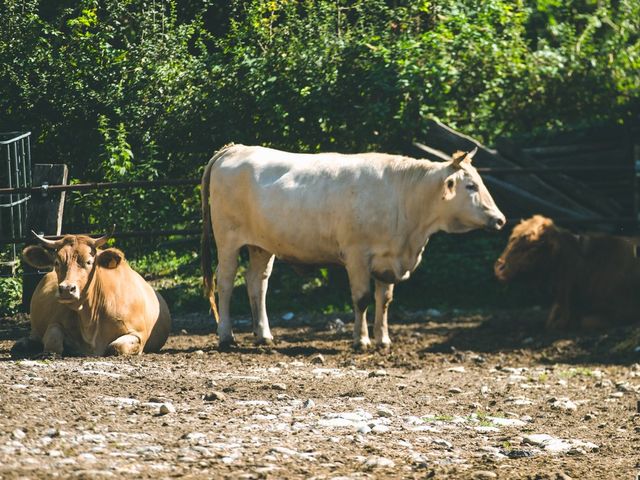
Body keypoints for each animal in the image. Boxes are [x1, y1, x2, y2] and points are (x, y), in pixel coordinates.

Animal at [12, 232, 172, 356]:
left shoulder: (138, 334)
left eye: (89, 262)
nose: (66, 289)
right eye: (57, 262)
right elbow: (53, 337)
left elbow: (116, 347)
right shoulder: (55, 323)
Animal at [200, 144, 504, 350]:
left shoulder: (387, 259)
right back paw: (226, 336)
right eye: (470, 186)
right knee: (225, 281)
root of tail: (235, 148)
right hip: (227, 238)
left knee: (257, 282)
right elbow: (362, 299)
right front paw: (362, 340)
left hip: (262, 245)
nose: (500, 219)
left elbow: (384, 300)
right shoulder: (357, 255)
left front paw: (383, 340)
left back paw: (263, 334)